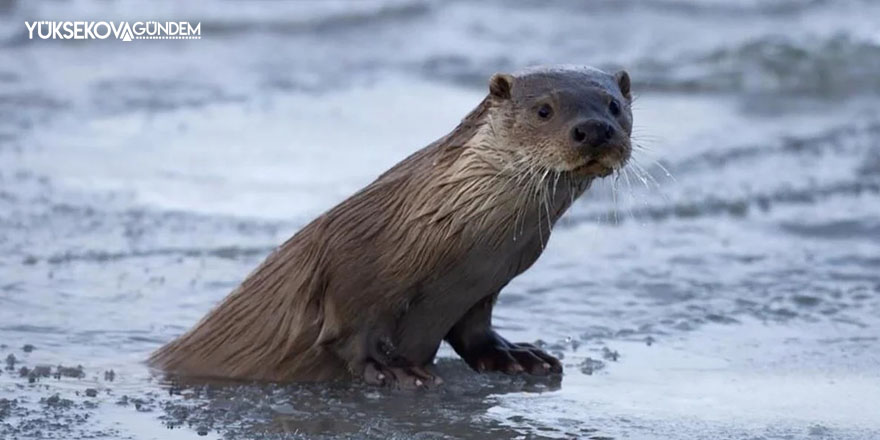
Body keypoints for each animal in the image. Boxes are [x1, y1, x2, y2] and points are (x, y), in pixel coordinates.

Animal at [151, 65, 632, 388]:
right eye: (544, 110)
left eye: (615, 105)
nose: (594, 129)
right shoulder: (350, 265)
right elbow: (351, 331)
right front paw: (393, 369)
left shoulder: (485, 286)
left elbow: (475, 331)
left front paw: (517, 356)